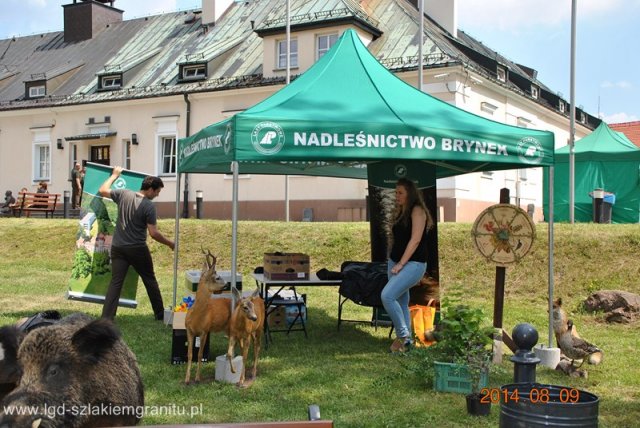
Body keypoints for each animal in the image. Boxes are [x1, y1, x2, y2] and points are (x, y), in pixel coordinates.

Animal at [184, 247, 231, 384]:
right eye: (217, 277)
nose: (227, 284)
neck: (196, 317)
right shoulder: (189, 330)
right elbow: (190, 354)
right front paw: (187, 379)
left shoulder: (204, 331)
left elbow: (199, 354)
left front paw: (197, 378)